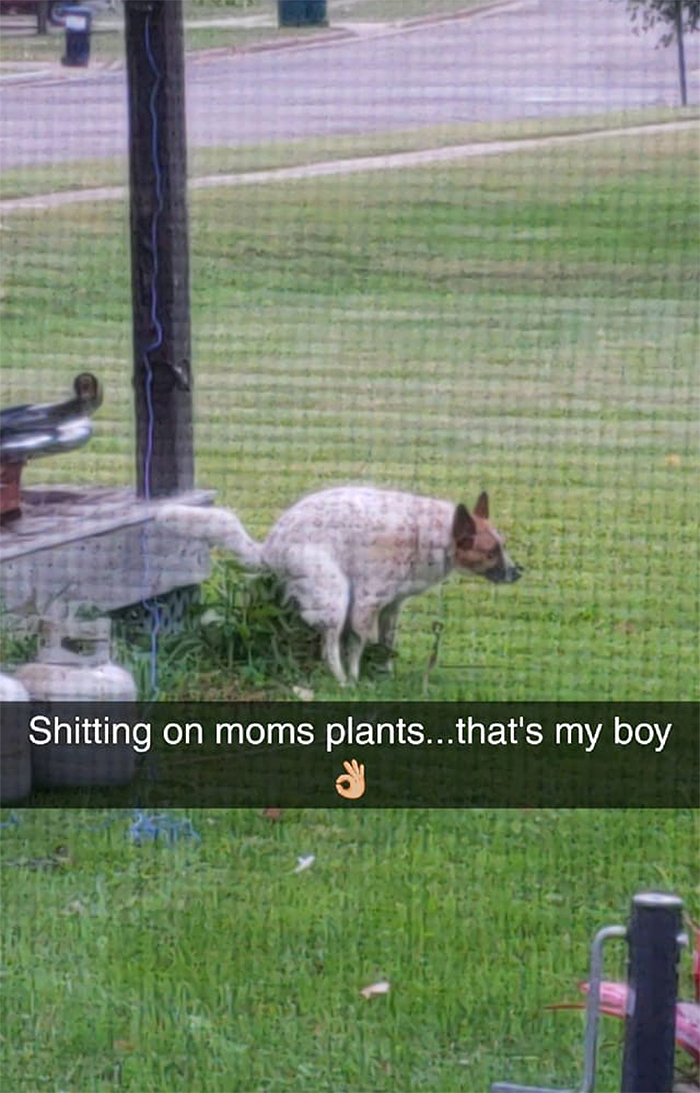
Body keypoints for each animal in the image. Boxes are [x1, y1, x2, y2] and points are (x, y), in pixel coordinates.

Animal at [157, 487, 520, 682]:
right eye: (492, 552)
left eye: (502, 546)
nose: (519, 572)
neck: (430, 535)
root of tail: (269, 548)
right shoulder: (366, 602)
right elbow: (356, 646)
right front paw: (357, 680)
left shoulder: (391, 607)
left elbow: (386, 643)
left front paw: (385, 675)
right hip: (335, 595)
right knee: (328, 646)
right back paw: (342, 682)